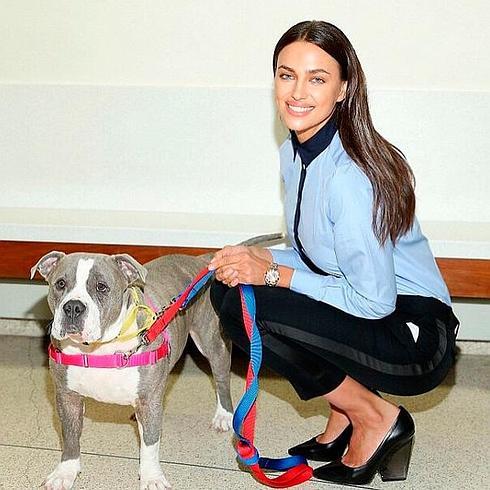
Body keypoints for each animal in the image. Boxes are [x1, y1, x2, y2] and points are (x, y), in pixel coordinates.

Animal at [30, 234, 282, 490]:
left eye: (101, 287)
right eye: (60, 284)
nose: (72, 307)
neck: (99, 349)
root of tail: (202, 260)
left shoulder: (150, 401)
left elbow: (150, 444)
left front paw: (152, 477)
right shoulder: (67, 397)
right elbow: (70, 438)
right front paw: (65, 473)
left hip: (211, 343)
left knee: (221, 379)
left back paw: (223, 416)